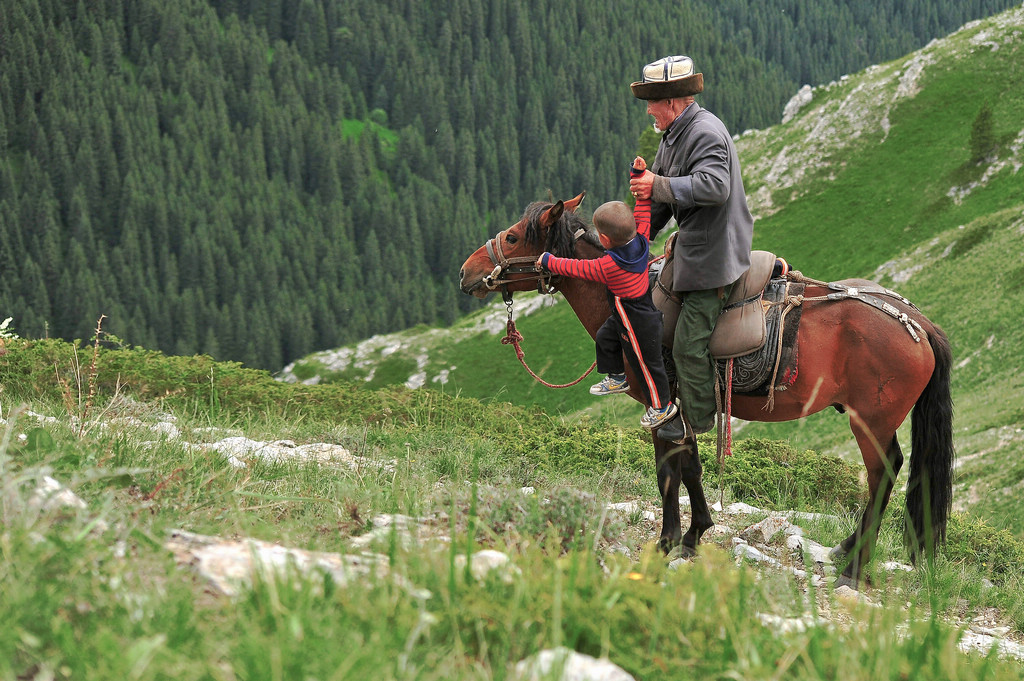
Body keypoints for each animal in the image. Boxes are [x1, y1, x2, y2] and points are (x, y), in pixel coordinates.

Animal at [460, 193, 954, 585]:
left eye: (515, 238)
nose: (466, 272)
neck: (625, 297)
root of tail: (918, 322)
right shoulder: (684, 401)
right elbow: (691, 466)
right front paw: (696, 533)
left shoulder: (659, 402)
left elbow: (668, 469)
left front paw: (667, 541)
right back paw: (847, 549)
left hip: (870, 420)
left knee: (883, 473)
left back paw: (854, 567)